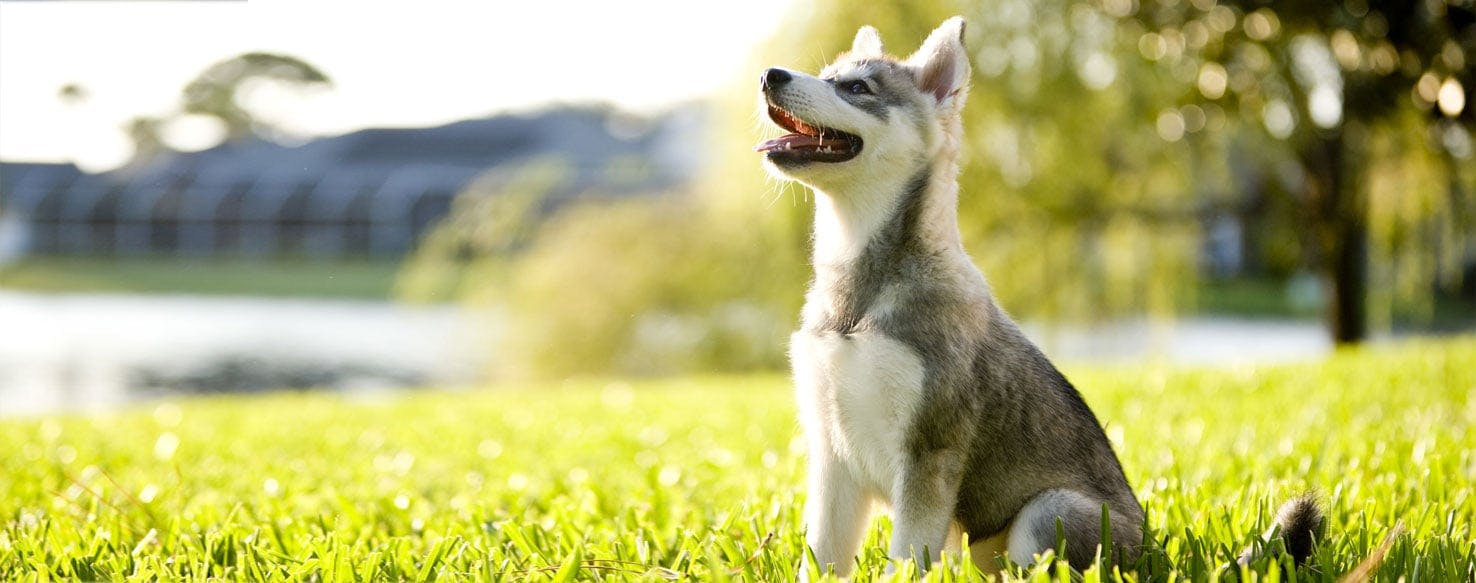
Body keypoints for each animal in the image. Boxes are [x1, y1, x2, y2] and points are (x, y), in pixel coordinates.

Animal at [755, 15, 1322, 578]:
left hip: (1048, 513)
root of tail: (1156, 556)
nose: (769, 74)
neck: (859, 294)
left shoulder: (929, 453)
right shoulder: (831, 455)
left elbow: (908, 557)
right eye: (828, 75)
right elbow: (821, 557)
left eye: (857, 88)